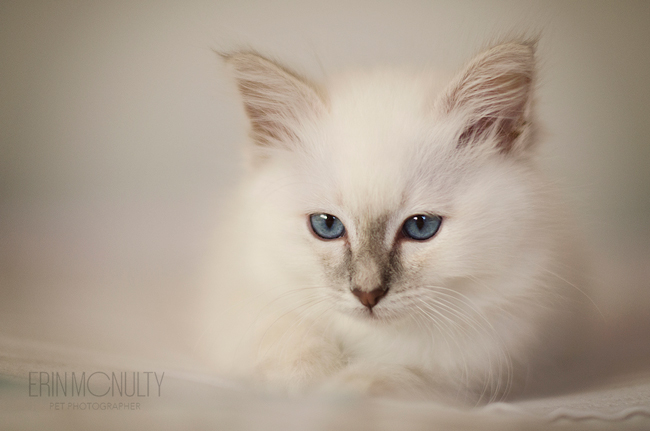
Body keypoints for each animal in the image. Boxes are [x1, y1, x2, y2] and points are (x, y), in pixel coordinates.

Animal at [194, 42, 592, 406]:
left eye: (421, 227)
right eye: (326, 226)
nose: (367, 294)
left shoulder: (490, 358)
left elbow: (394, 377)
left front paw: (340, 390)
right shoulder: (247, 299)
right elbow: (288, 345)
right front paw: (311, 381)